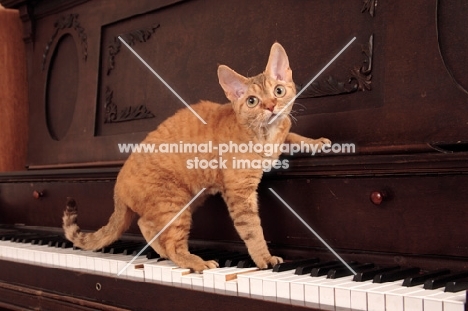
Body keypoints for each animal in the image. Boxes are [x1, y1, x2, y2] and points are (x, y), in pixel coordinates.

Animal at [63, 42, 330, 272]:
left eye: (278, 90)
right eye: (252, 101)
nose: (271, 106)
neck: (265, 135)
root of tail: (117, 185)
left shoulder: (282, 133)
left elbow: (293, 135)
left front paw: (317, 143)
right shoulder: (239, 193)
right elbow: (252, 230)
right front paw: (264, 258)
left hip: (189, 199)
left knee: (146, 225)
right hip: (174, 203)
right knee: (170, 241)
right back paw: (196, 262)